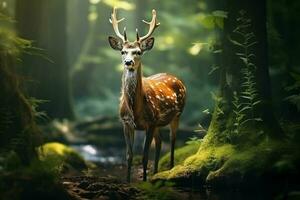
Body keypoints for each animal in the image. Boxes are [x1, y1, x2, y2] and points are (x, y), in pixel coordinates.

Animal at [108, 8, 185, 183]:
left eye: (138, 52)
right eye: (123, 51)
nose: (128, 62)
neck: (135, 109)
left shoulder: (150, 122)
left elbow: (144, 157)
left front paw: (143, 181)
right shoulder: (126, 122)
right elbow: (129, 156)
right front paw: (128, 181)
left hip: (177, 114)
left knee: (172, 141)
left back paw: (170, 168)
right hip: (158, 123)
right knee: (160, 142)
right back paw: (155, 172)